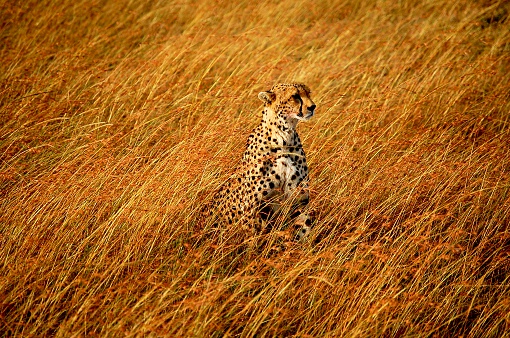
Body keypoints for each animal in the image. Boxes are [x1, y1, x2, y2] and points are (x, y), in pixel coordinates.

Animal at [203, 82, 314, 240]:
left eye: (308, 94)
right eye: (295, 96)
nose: (312, 107)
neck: (284, 138)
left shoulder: (300, 200)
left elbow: (303, 228)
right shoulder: (251, 207)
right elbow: (254, 239)